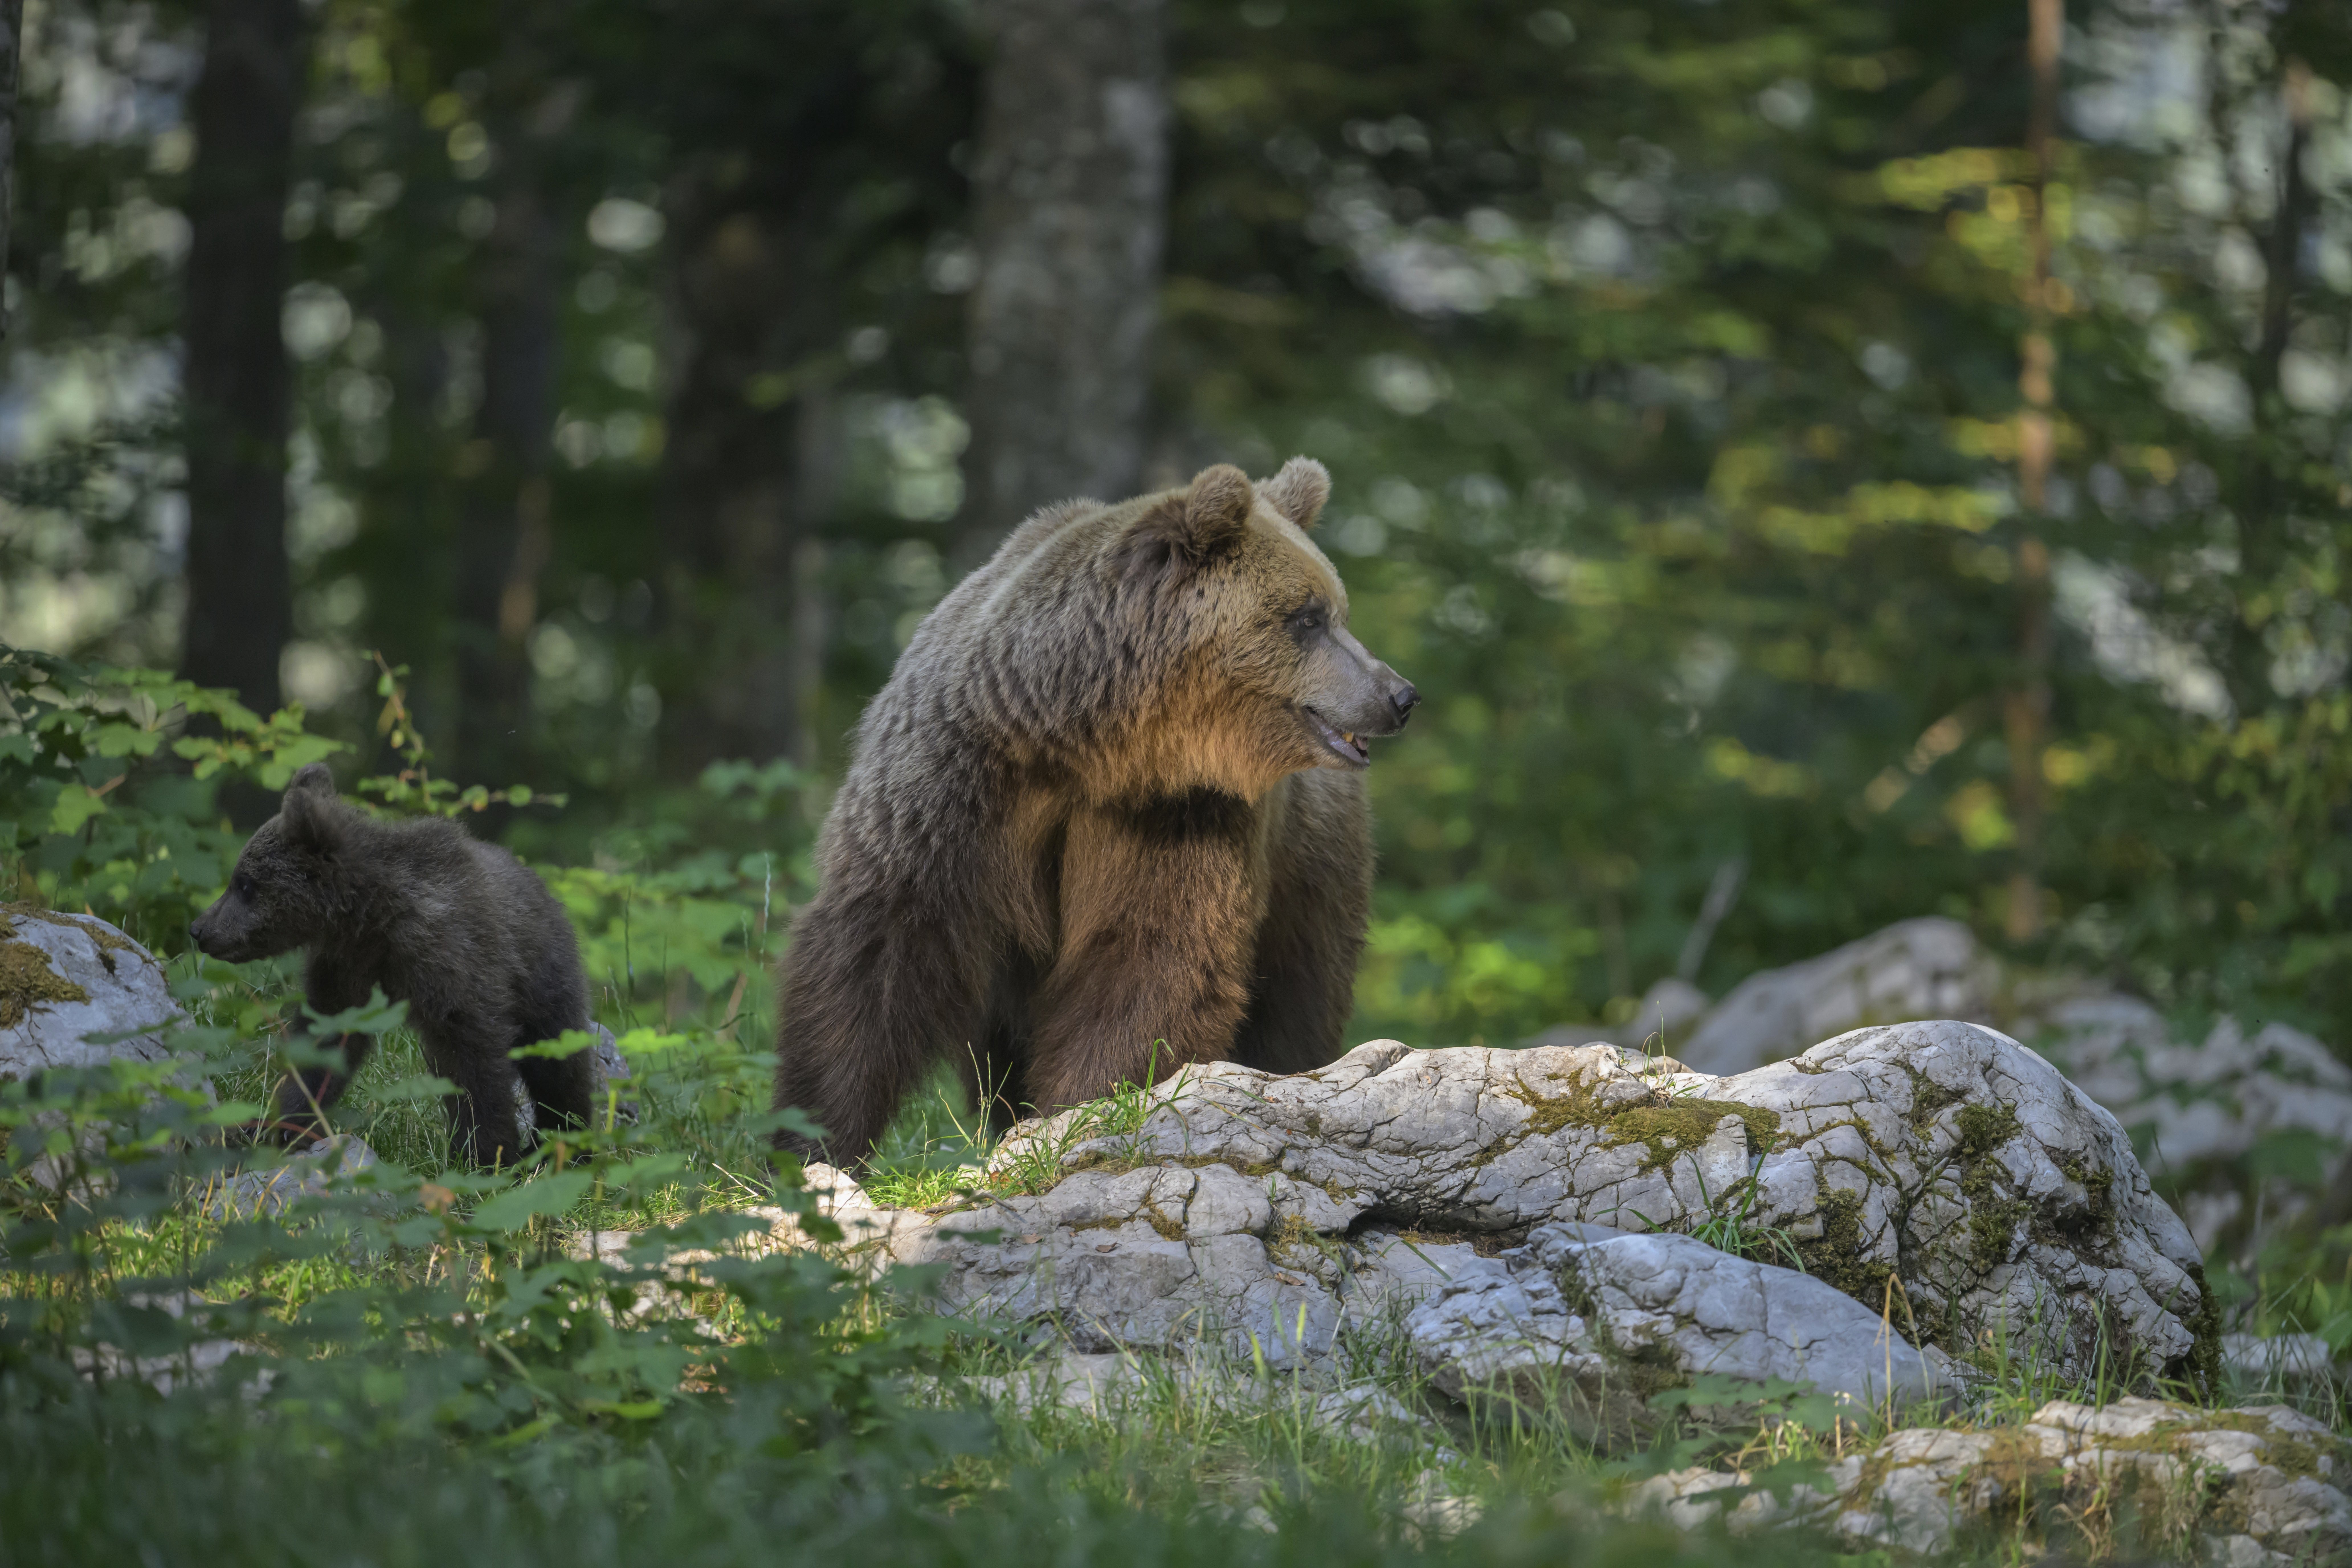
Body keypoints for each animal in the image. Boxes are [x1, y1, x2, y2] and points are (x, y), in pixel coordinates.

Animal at [188, 762, 596, 1168]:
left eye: (245, 884)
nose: (199, 929)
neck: (371, 918)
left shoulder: (454, 964)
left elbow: (475, 1061)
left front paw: (485, 1156)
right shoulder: (346, 969)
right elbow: (323, 1041)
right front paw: (273, 1126)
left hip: (543, 978)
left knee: (558, 1060)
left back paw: (566, 1142)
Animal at [771, 458, 1418, 1164]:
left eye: (1336, 610)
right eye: (1307, 617)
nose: (1400, 694)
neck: (1085, 744)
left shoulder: (1175, 811)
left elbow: (1149, 954)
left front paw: (1079, 1112)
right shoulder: (955, 784)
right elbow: (878, 947)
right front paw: (811, 1140)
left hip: (1309, 871)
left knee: (1298, 995)